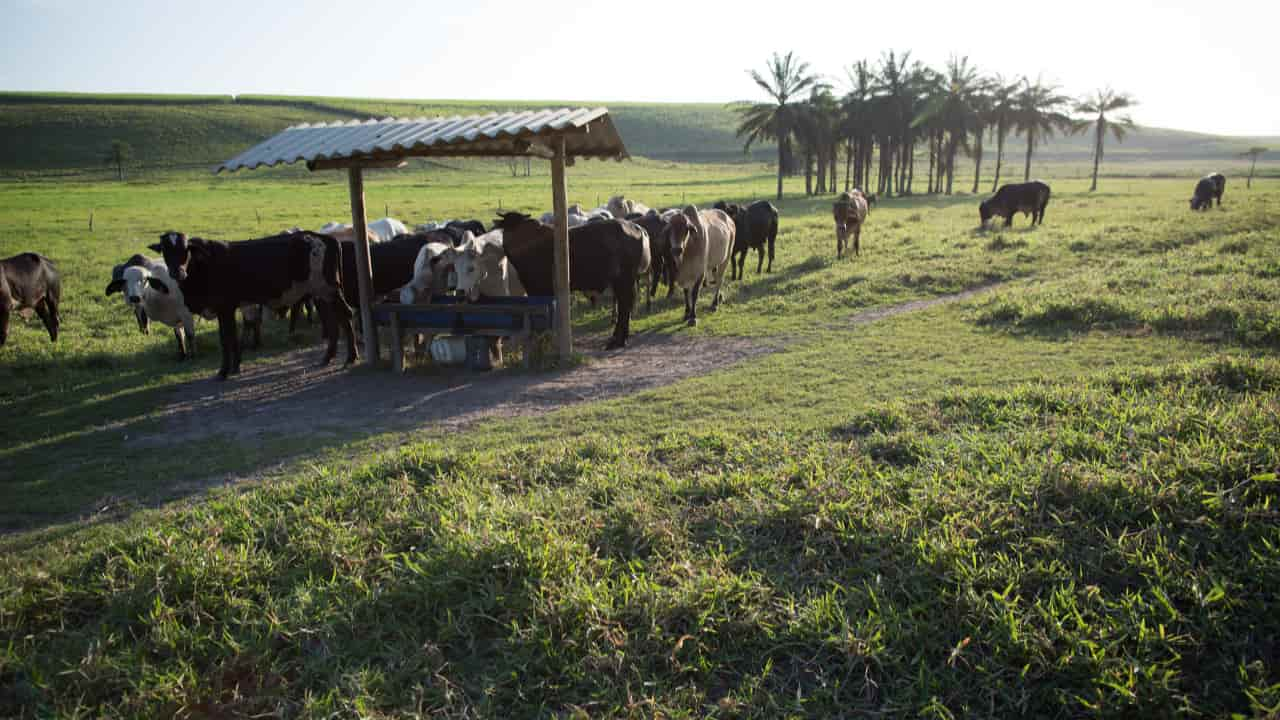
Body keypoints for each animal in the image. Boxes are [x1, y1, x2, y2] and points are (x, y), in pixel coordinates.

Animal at [152, 229, 358, 379]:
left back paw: (351, 357)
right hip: (321, 295)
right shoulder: (227, 310)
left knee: (346, 316)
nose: (177, 272)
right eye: (165, 250)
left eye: (185, 249)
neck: (204, 265)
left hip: (330, 290)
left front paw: (224, 371)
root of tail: (325, 237)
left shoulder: (225, 309)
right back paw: (329, 357)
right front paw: (235, 367)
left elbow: (226, 339)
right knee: (334, 322)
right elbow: (232, 337)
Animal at [488, 210, 650, 348]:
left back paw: (618, 340)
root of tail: (637, 228)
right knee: (625, 305)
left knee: (625, 306)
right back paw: (618, 338)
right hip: (622, 281)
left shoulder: (539, 289)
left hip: (624, 280)